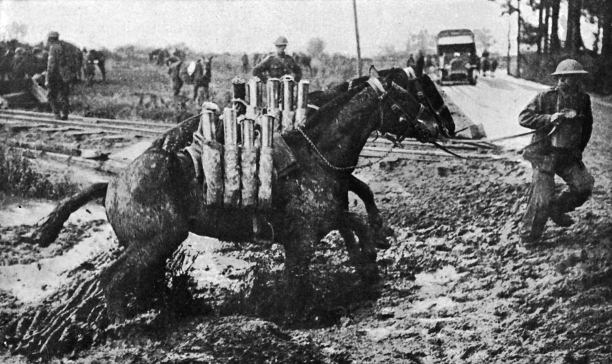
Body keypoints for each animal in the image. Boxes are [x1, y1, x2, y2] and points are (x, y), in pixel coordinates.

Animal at [8, 67, 444, 358]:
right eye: (413, 97)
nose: (445, 128)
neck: (314, 155)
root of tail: (112, 183)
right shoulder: (302, 239)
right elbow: (300, 277)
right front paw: (302, 318)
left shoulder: (327, 217)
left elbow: (355, 222)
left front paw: (370, 266)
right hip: (156, 241)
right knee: (112, 280)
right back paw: (126, 329)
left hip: (155, 245)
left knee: (134, 279)